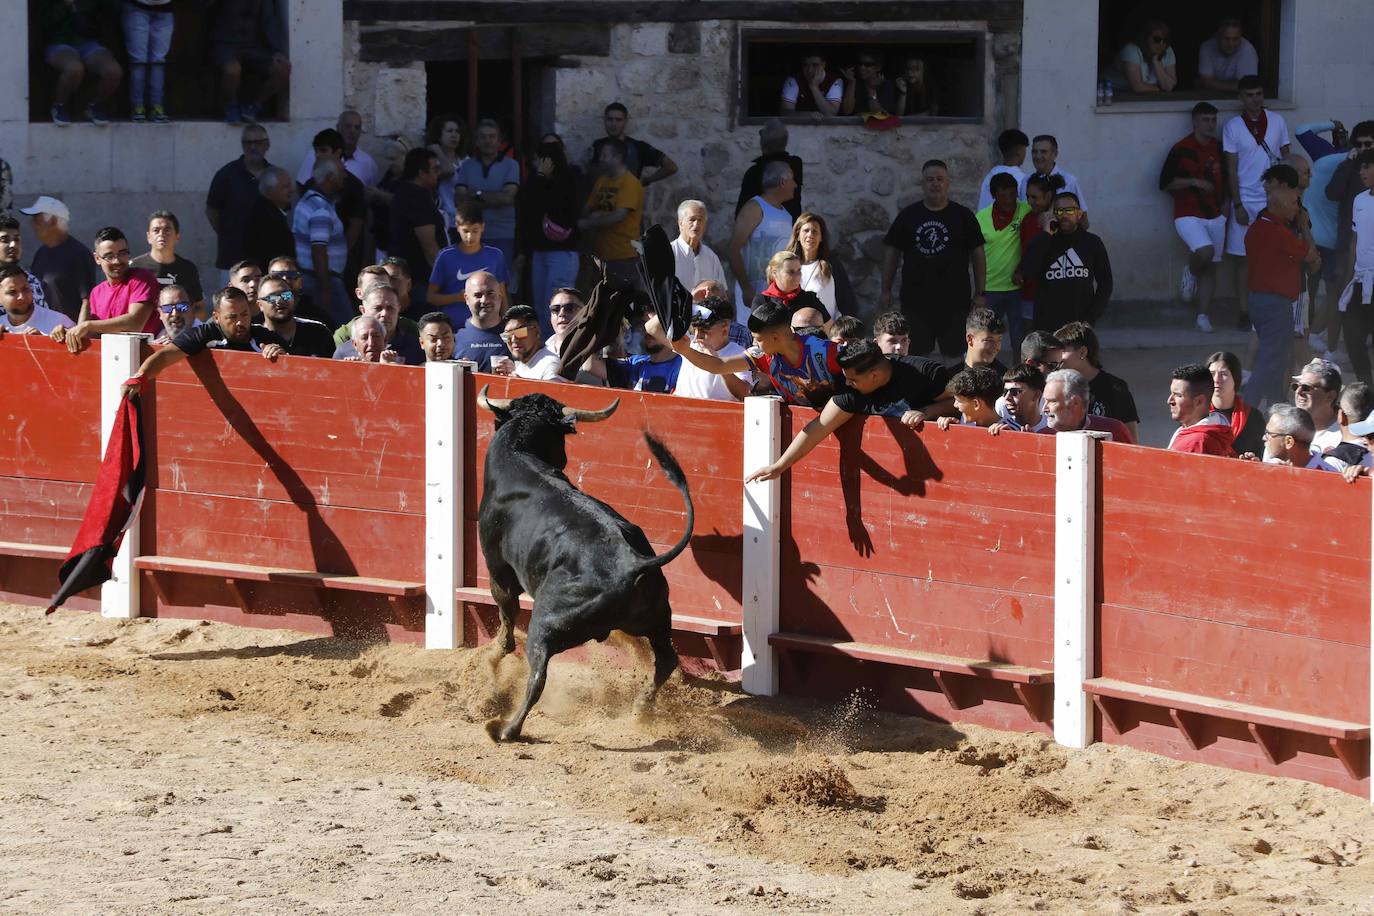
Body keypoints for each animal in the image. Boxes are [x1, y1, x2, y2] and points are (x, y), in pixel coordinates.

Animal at [475, 384, 692, 736]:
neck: (520, 454)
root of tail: (631, 563)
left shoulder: (498, 572)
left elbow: (506, 619)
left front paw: (494, 655)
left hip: (547, 622)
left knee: (538, 674)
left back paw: (508, 729)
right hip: (658, 616)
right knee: (667, 660)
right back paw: (640, 707)